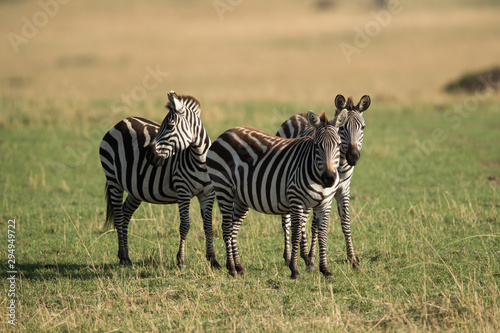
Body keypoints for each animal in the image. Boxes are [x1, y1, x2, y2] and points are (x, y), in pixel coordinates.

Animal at [98, 89, 220, 268]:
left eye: (169, 126)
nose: (149, 156)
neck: (199, 160)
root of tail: (121, 122)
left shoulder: (208, 193)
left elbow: (208, 226)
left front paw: (213, 260)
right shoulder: (183, 191)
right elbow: (185, 225)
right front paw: (181, 260)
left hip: (136, 188)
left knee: (126, 214)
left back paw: (124, 256)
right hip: (113, 180)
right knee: (119, 216)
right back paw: (124, 258)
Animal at [206, 108, 348, 278]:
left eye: (338, 145)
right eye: (317, 146)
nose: (329, 178)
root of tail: (225, 133)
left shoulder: (325, 204)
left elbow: (323, 235)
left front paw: (325, 270)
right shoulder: (296, 200)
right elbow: (296, 234)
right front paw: (294, 270)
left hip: (241, 197)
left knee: (233, 228)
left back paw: (238, 267)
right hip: (224, 189)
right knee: (226, 227)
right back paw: (232, 268)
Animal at [278, 94, 372, 270]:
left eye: (362, 127)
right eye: (343, 129)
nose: (353, 157)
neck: (339, 166)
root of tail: (298, 115)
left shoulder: (343, 190)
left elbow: (344, 222)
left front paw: (352, 259)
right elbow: (314, 225)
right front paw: (310, 257)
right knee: (288, 220)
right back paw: (289, 256)